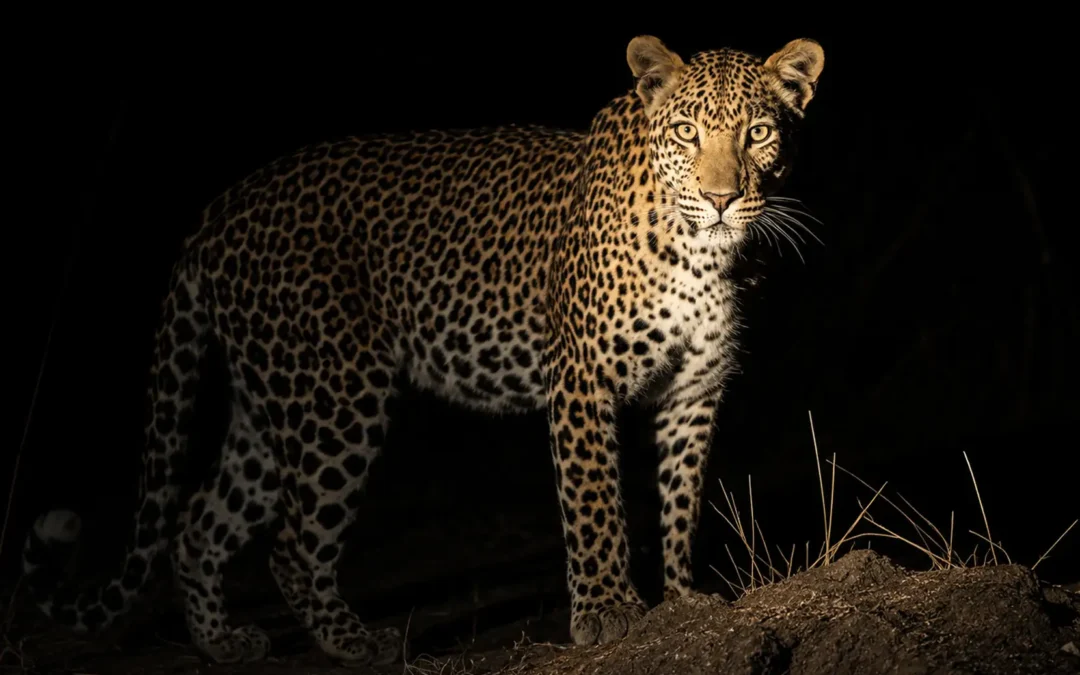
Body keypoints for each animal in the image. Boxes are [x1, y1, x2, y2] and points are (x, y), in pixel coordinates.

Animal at [22, 35, 825, 666]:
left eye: (758, 133)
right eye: (687, 131)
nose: (721, 198)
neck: (708, 257)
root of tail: (217, 211)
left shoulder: (695, 389)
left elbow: (681, 497)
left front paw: (683, 598)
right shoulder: (581, 379)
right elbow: (596, 502)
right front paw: (608, 612)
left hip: (269, 398)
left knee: (197, 524)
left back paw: (223, 642)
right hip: (337, 395)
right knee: (290, 544)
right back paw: (354, 643)